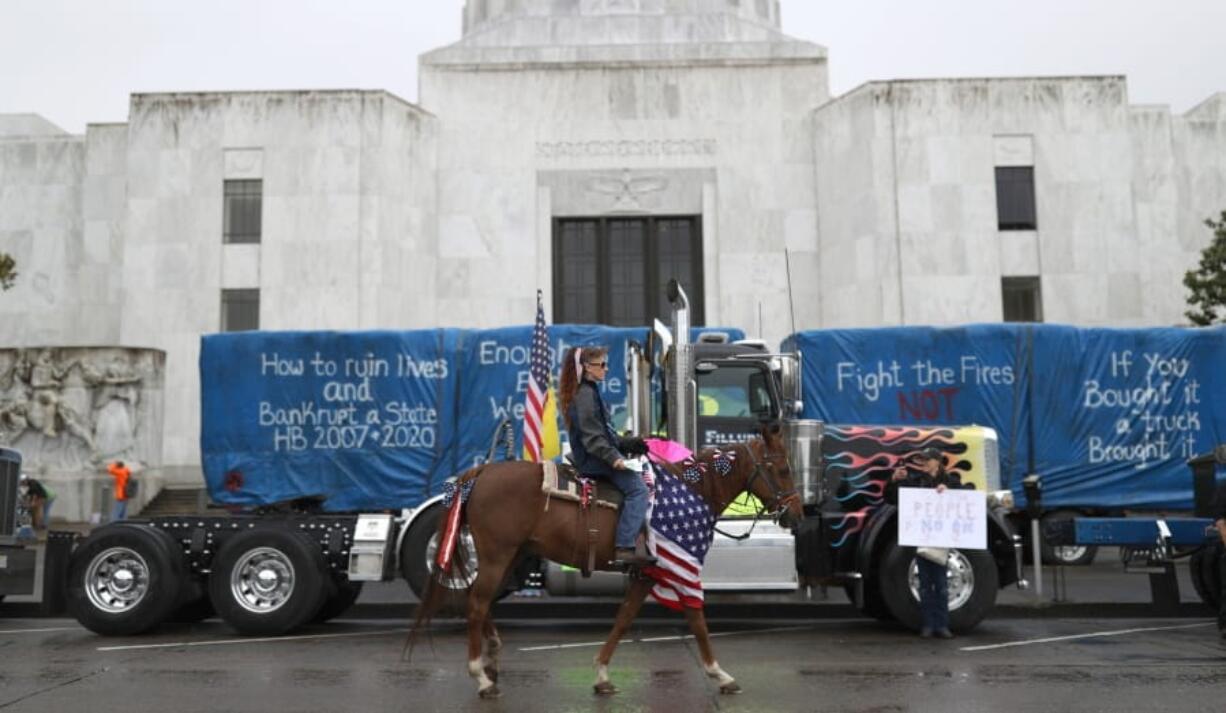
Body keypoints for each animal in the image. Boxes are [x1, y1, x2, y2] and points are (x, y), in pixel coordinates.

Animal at [411, 423, 799, 700]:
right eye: (782, 468)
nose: (796, 513)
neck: (693, 490)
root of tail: (481, 473)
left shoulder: (646, 571)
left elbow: (624, 619)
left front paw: (601, 675)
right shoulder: (678, 567)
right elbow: (697, 620)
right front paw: (720, 674)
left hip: (511, 555)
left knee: (481, 599)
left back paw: (492, 657)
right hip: (496, 554)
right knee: (477, 603)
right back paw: (480, 675)